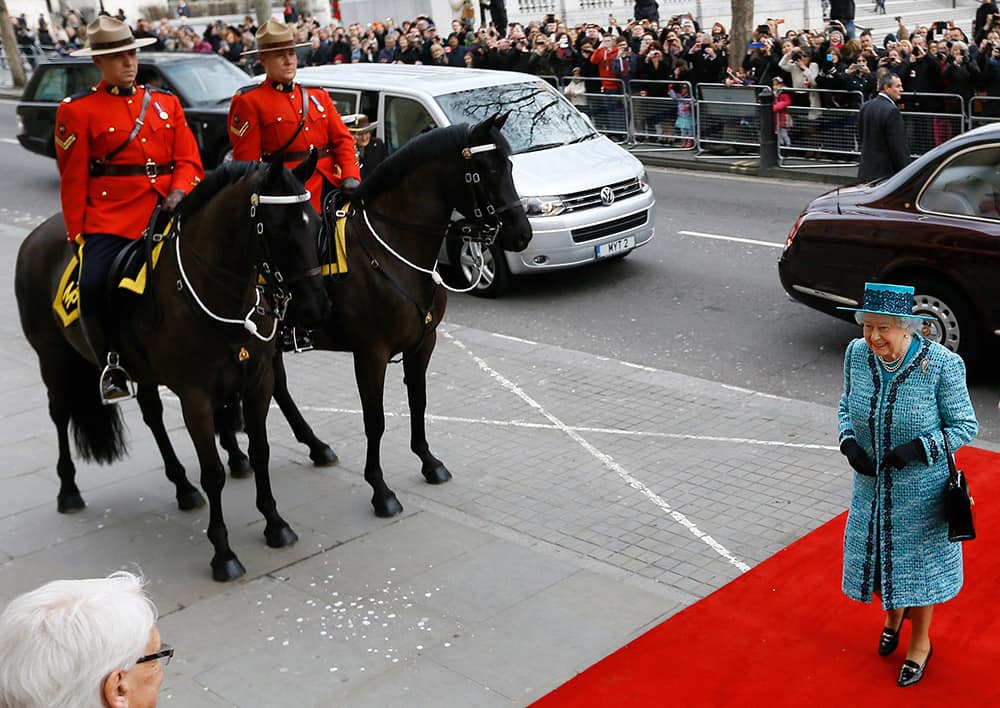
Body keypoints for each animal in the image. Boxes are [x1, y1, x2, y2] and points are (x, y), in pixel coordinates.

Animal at [15, 156, 330, 580]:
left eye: (314, 224)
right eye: (278, 228)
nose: (316, 309)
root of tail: (36, 236)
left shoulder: (256, 382)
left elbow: (260, 450)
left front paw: (275, 524)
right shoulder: (196, 396)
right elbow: (212, 471)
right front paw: (223, 553)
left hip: (141, 369)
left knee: (152, 415)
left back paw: (182, 485)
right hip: (53, 357)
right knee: (61, 413)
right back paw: (69, 491)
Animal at [219, 113, 532, 516]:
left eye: (509, 166)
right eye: (486, 172)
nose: (522, 234)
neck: (392, 250)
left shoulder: (423, 344)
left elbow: (418, 402)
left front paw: (428, 461)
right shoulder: (371, 353)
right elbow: (375, 420)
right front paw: (380, 489)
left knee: (279, 389)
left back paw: (314, 445)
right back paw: (236, 453)